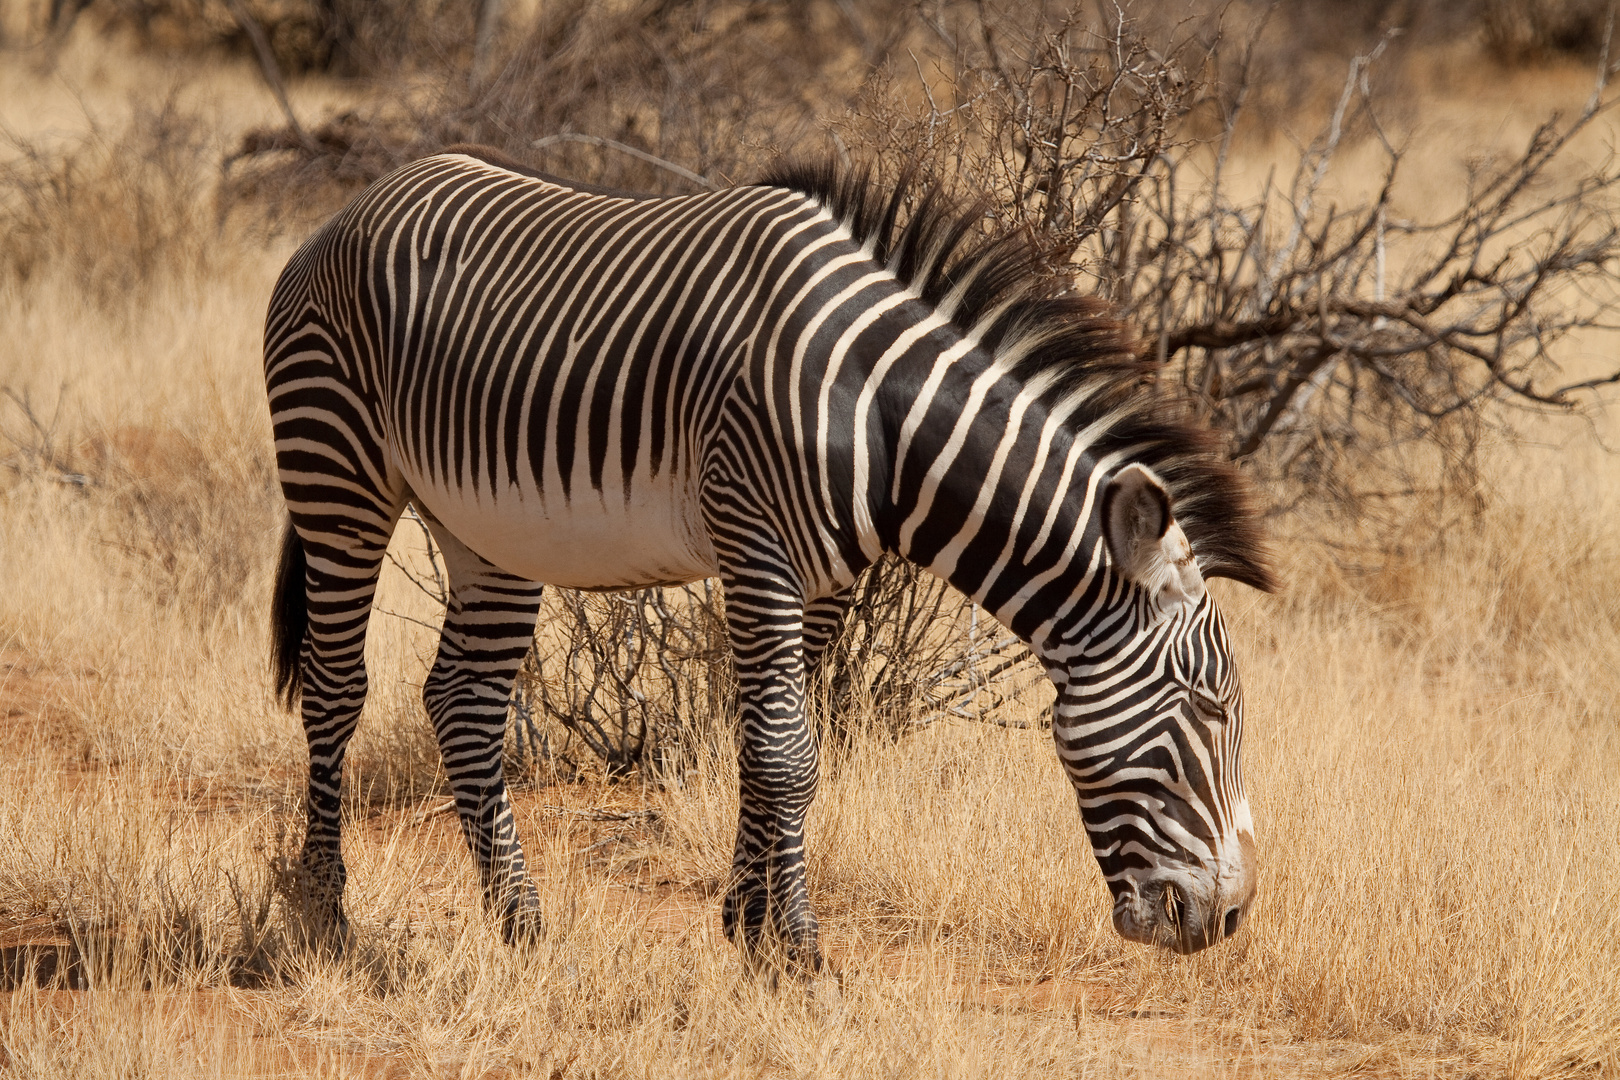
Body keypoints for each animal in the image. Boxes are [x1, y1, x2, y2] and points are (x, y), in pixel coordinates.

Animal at [268, 145, 1276, 971]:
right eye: (1210, 707)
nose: (1230, 920)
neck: (884, 420)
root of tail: (361, 201)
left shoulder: (825, 581)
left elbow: (783, 744)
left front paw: (747, 926)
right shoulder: (754, 544)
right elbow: (784, 749)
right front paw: (796, 948)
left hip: (489, 530)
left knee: (464, 702)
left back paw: (519, 922)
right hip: (337, 466)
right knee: (335, 684)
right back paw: (324, 914)